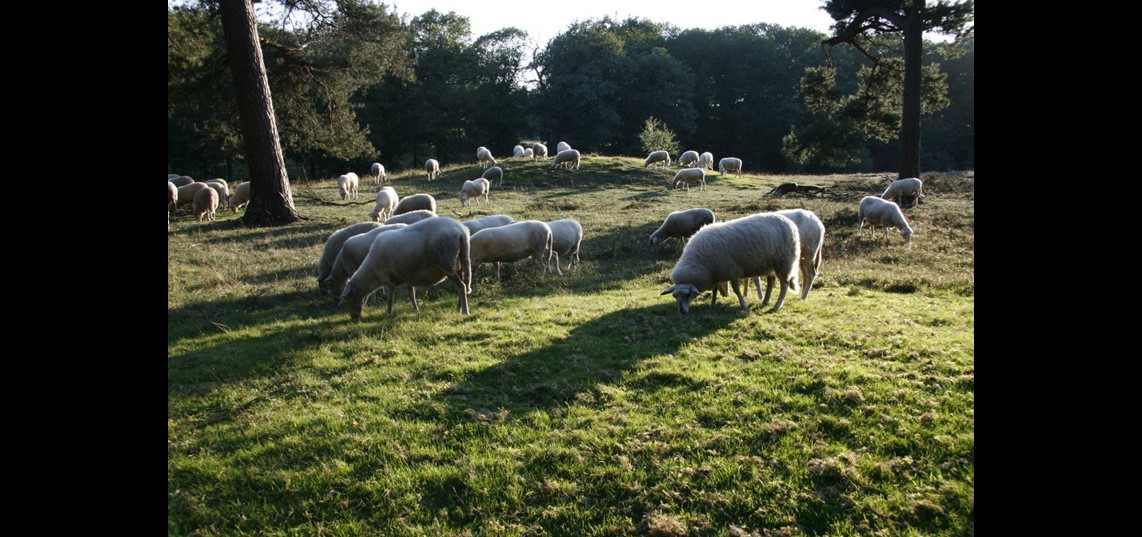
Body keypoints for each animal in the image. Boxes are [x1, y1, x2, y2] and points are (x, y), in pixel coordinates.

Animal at [338, 218, 472, 319]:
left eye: (349, 299)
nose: (354, 318)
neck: (372, 272)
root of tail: (461, 231)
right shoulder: (408, 276)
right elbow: (411, 295)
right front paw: (416, 310)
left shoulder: (389, 279)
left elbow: (390, 298)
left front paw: (388, 313)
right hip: (458, 263)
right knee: (464, 285)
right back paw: (458, 308)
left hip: (446, 262)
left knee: (461, 286)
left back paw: (465, 311)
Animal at [662, 212, 803, 315]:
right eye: (674, 296)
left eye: (687, 295)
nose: (682, 313)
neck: (699, 261)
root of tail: (790, 223)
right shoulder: (716, 271)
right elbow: (715, 289)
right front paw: (712, 304)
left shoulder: (731, 269)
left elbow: (736, 289)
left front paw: (743, 305)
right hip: (769, 264)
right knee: (771, 282)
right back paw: (765, 301)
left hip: (784, 262)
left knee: (784, 285)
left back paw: (777, 306)